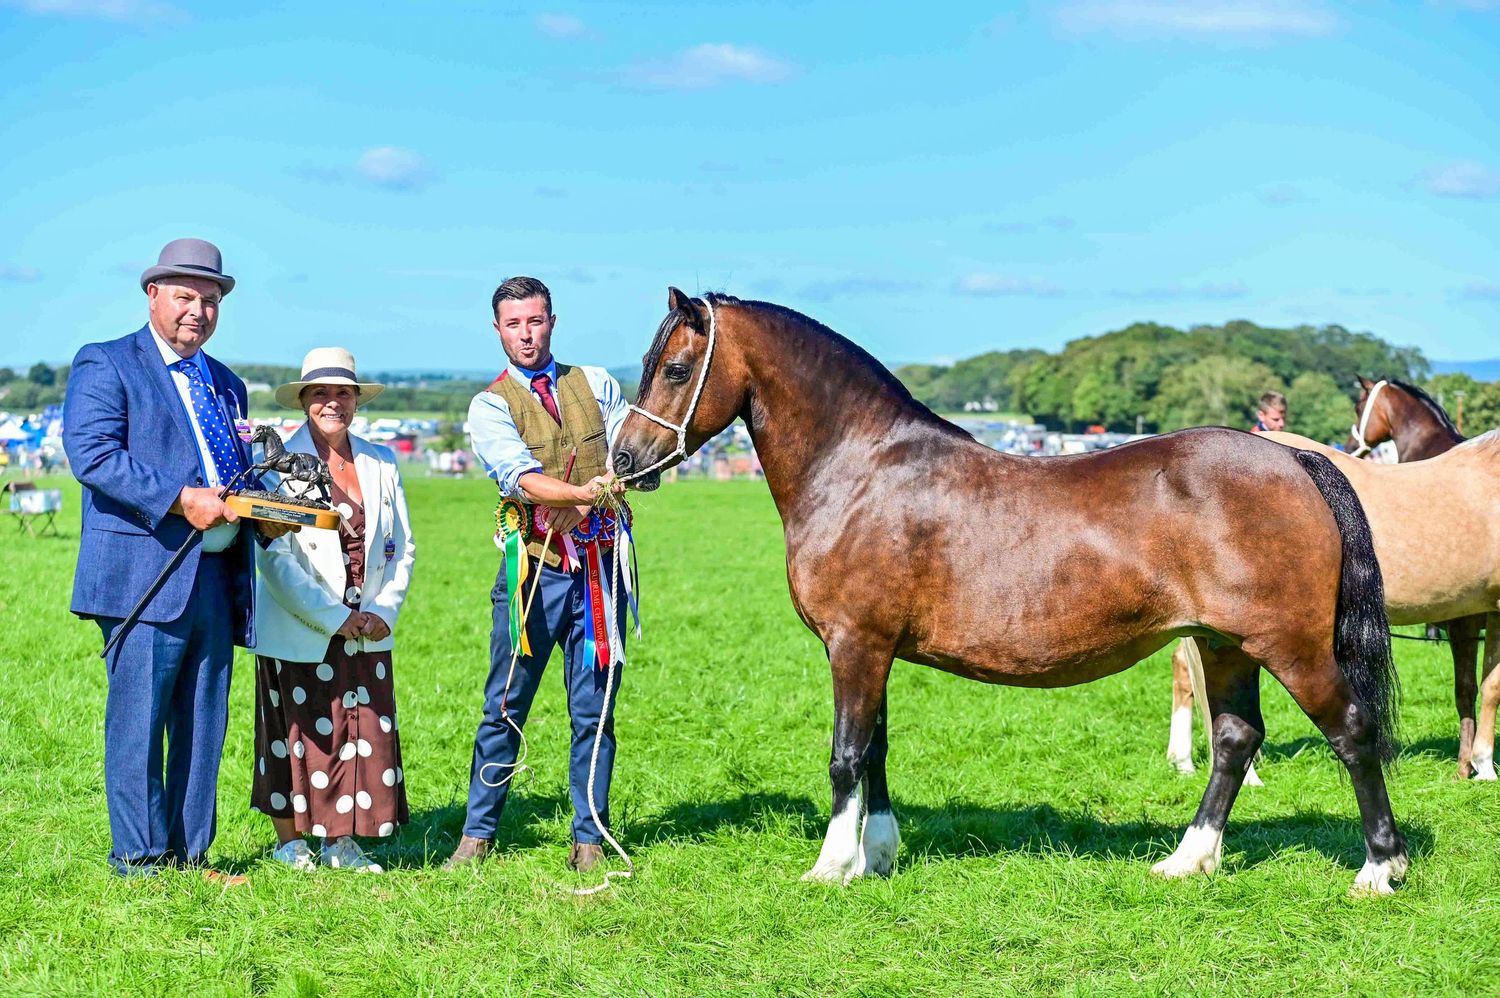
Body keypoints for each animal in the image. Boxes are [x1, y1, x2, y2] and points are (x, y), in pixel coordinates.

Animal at [613, 289, 1409, 894]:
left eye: (677, 368)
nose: (624, 459)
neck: (860, 469)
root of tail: (1296, 463)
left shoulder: (854, 645)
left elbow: (845, 754)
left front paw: (831, 866)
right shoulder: (875, 650)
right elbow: (875, 750)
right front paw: (878, 856)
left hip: (1290, 646)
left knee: (1352, 730)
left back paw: (1380, 868)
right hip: (1224, 645)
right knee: (1237, 738)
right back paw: (1188, 859)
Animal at [1168, 427, 1500, 780]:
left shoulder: (1470, 618)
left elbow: (1469, 689)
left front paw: (1466, 766)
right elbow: (1491, 688)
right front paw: (1483, 765)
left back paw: (1183, 760)